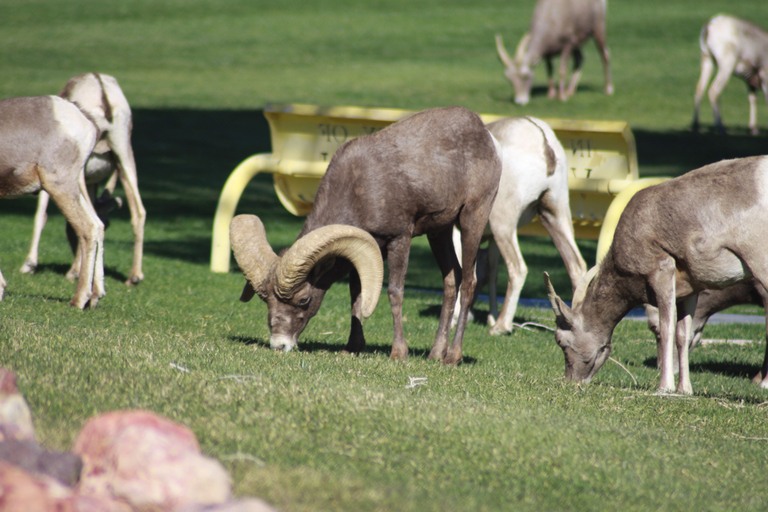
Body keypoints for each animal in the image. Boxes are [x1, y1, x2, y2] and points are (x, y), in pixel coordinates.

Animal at [0, 95, 103, 308]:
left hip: (59, 186)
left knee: (88, 228)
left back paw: (78, 301)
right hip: (73, 188)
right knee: (98, 225)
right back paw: (95, 298)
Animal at [20, 73, 146, 286]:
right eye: (111, 224)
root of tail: (100, 87)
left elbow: (41, 215)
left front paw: (28, 265)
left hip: (81, 169)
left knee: (91, 219)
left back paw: (74, 272)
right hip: (124, 156)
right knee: (137, 212)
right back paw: (134, 277)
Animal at [231, 107, 500, 364]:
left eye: (304, 299)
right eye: (267, 301)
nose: (279, 345)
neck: (358, 190)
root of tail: (486, 136)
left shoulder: (399, 239)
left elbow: (394, 292)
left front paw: (398, 353)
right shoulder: (366, 250)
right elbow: (356, 293)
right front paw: (352, 347)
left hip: (472, 218)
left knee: (469, 282)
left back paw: (452, 357)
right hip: (439, 232)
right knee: (452, 278)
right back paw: (435, 354)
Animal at [450, 116, 588, 332]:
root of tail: (542, 139)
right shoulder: (490, 240)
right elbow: (492, 272)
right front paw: (489, 316)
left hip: (504, 225)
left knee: (518, 268)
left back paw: (501, 327)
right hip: (554, 214)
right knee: (576, 265)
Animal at [544, 157, 768, 396]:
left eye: (560, 340)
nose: (572, 380)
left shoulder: (661, 270)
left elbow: (667, 326)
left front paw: (664, 387)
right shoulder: (691, 290)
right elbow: (682, 334)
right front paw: (684, 390)